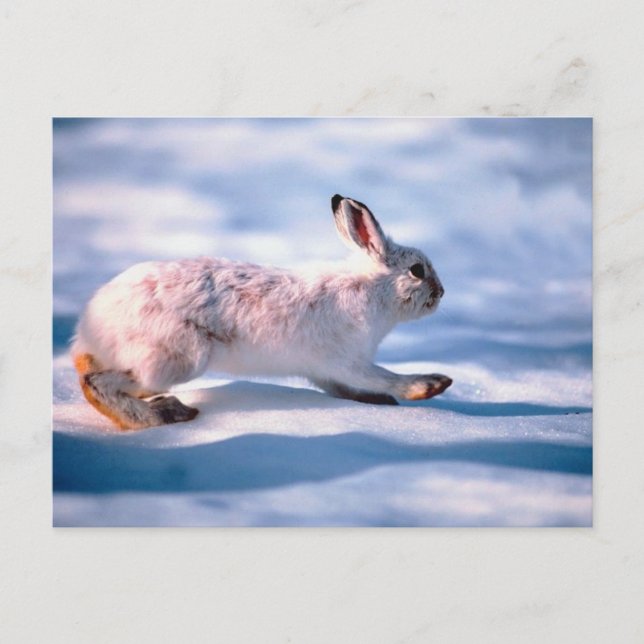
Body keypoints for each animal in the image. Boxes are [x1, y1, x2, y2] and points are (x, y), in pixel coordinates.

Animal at [72, 194, 452, 430]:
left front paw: (379, 402)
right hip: (178, 357)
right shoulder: (347, 360)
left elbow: (349, 390)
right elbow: (381, 376)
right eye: (417, 270)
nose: (441, 292)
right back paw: (164, 414)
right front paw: (431, 385)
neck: (373, 289)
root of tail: (92, 321)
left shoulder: (326, 371)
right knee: (95, 383)